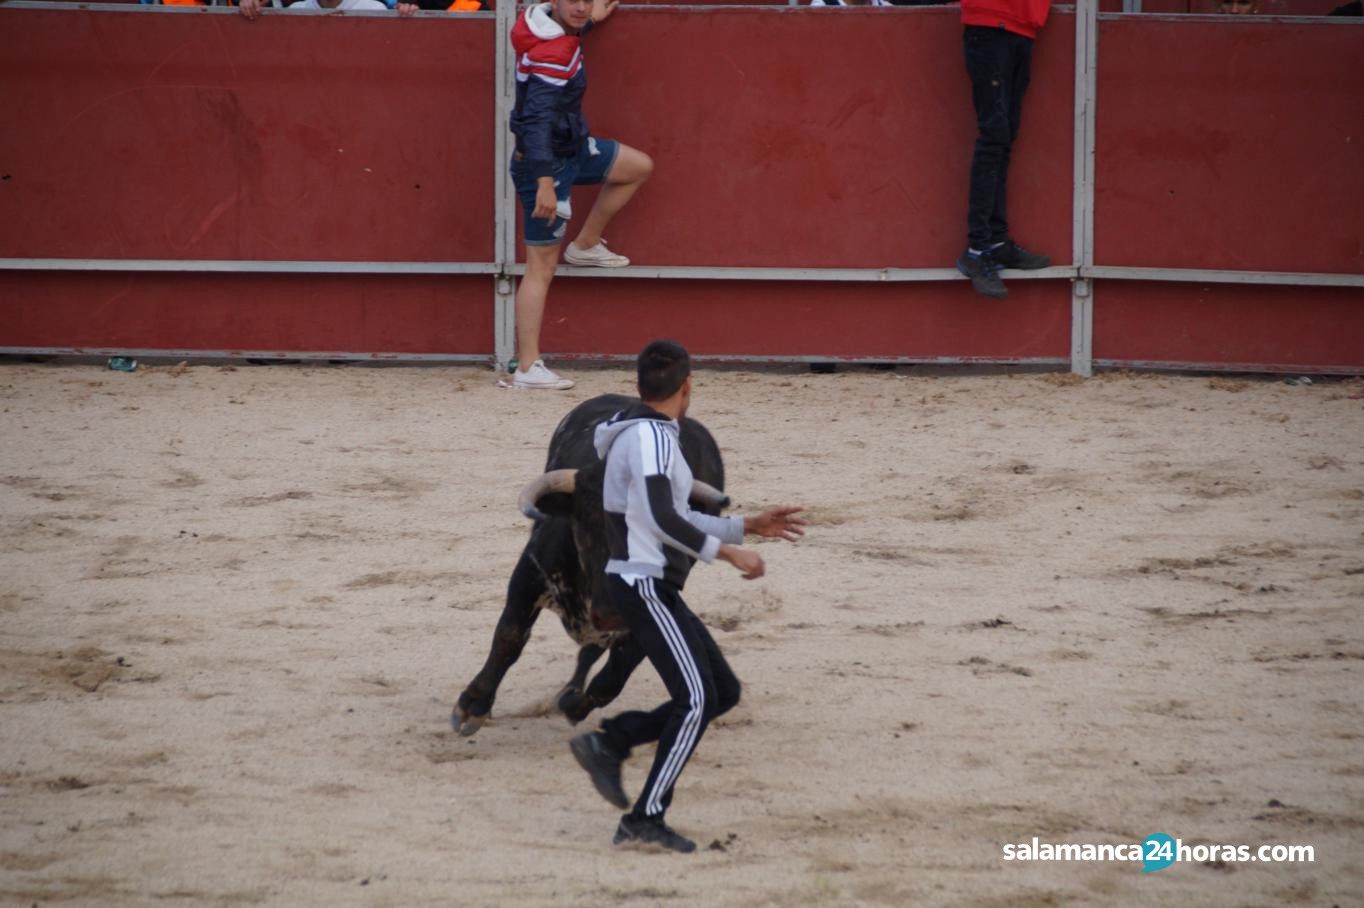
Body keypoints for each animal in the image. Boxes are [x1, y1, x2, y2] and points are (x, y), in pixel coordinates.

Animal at [447, 392, 731, 730]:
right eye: (588, 523)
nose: (610, 614)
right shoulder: (529, 574)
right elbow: (509, 636)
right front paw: (472, 705)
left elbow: (616, 670)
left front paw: (574, 704)